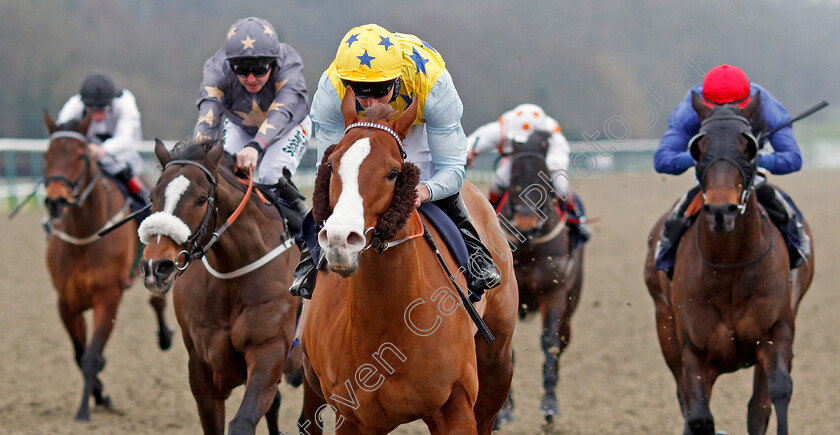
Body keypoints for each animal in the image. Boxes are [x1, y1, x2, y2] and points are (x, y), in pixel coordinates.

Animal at [44, 111, 174, 422]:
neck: (84, 236)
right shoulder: (66, 301)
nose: (55, 201)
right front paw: (99, 394)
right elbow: (80, 354)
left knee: (157, 303)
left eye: (81, 156)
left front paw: (83, 411)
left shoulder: (108, 296)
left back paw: (165, 336)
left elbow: (91, 356)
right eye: (46, 154)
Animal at [140, 140, 302, 435]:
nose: (156, 267)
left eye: (202, 198)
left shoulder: (269, 350)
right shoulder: (201, 365)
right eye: (152, 195)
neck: (232, 274)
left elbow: (242, 422)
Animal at [296, 89, 520, 435]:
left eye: (392, 173)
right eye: (331, 166)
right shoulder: (353, 417)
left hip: (497, 363)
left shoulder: (455, 407)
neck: (390, 324)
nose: (339, 240)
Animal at [496, 129, 580, 426]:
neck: (528, 247)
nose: (526, 226)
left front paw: (549, 404)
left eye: (543, 177)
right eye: (513, 179)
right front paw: (504, 411)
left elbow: (550, 343)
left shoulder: (554, 292)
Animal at [644, 93, 812, 435]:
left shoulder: (776, 330)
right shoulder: (693, 350)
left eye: (749, 146)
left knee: (758, 406)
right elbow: (698, 415)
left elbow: (776, 392)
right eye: (699, 146)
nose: (722, 210)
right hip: (664, 323)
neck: (730, 269)